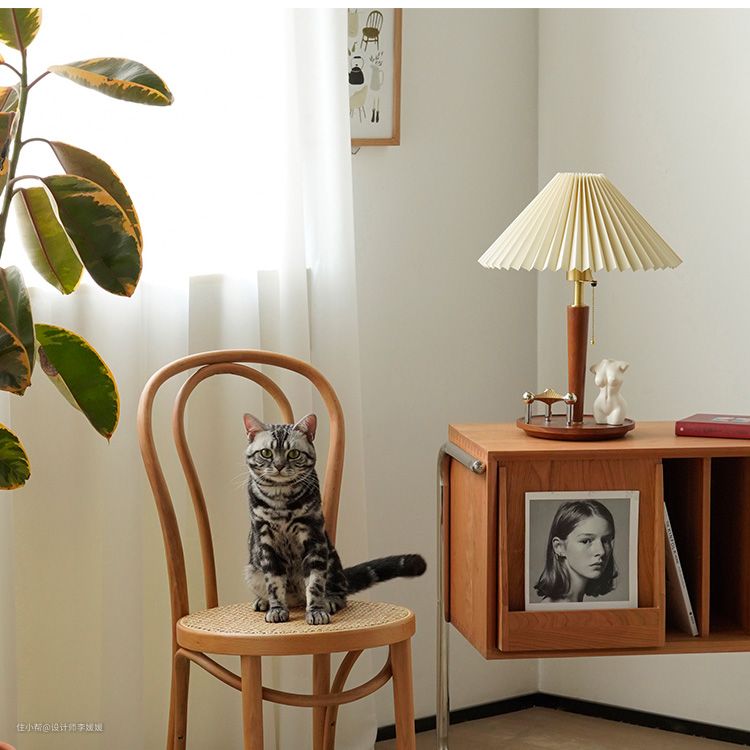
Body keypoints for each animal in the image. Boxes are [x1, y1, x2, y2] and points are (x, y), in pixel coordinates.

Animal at [243, 412, 426, 625]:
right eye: (266, 453)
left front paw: (316, 611)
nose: (279, 466)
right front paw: (277, 608)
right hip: (252, 570)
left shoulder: (314, 538)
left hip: (330, 560)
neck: (281, 501)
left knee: (339, 592)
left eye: (293, 454)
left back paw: (329, 601)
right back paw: (263, 601)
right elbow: (274, 583)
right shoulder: (266, 542)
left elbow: (314, 584)